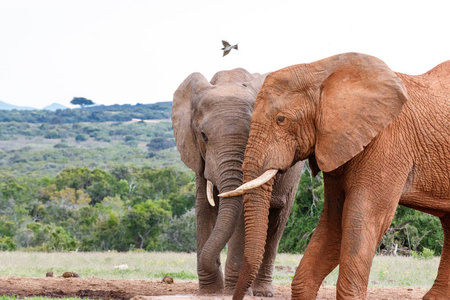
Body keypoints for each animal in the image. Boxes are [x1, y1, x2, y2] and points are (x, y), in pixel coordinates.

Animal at [171, 68, 304, 296]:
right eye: (203, 136)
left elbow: (243, 212)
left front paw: (230, 291)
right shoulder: (198, 157)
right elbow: (204, 207)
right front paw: (210, 292)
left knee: (277, 222)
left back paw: (262, 292)